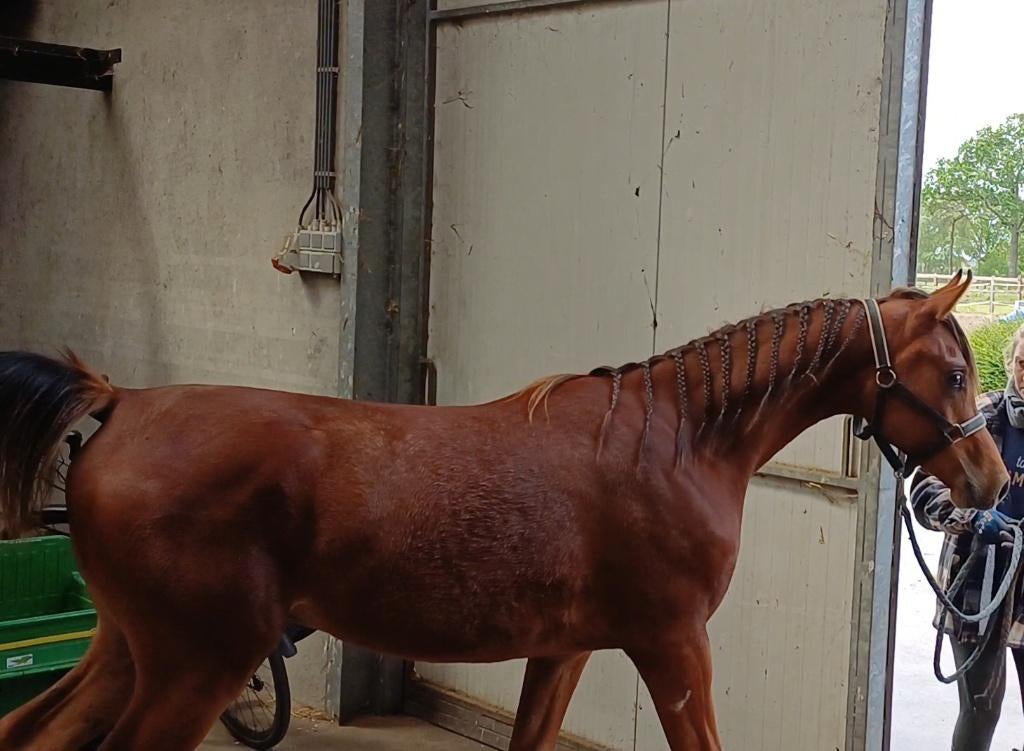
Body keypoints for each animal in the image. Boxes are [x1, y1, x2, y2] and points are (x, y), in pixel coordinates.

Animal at [0, 271, 1008, 751]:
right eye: (957, 372)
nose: (992, 483)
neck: (680, 440)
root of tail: (122, 402)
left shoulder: (564, 650)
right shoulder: (675, 646)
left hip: (128, 651)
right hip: (198, 662)